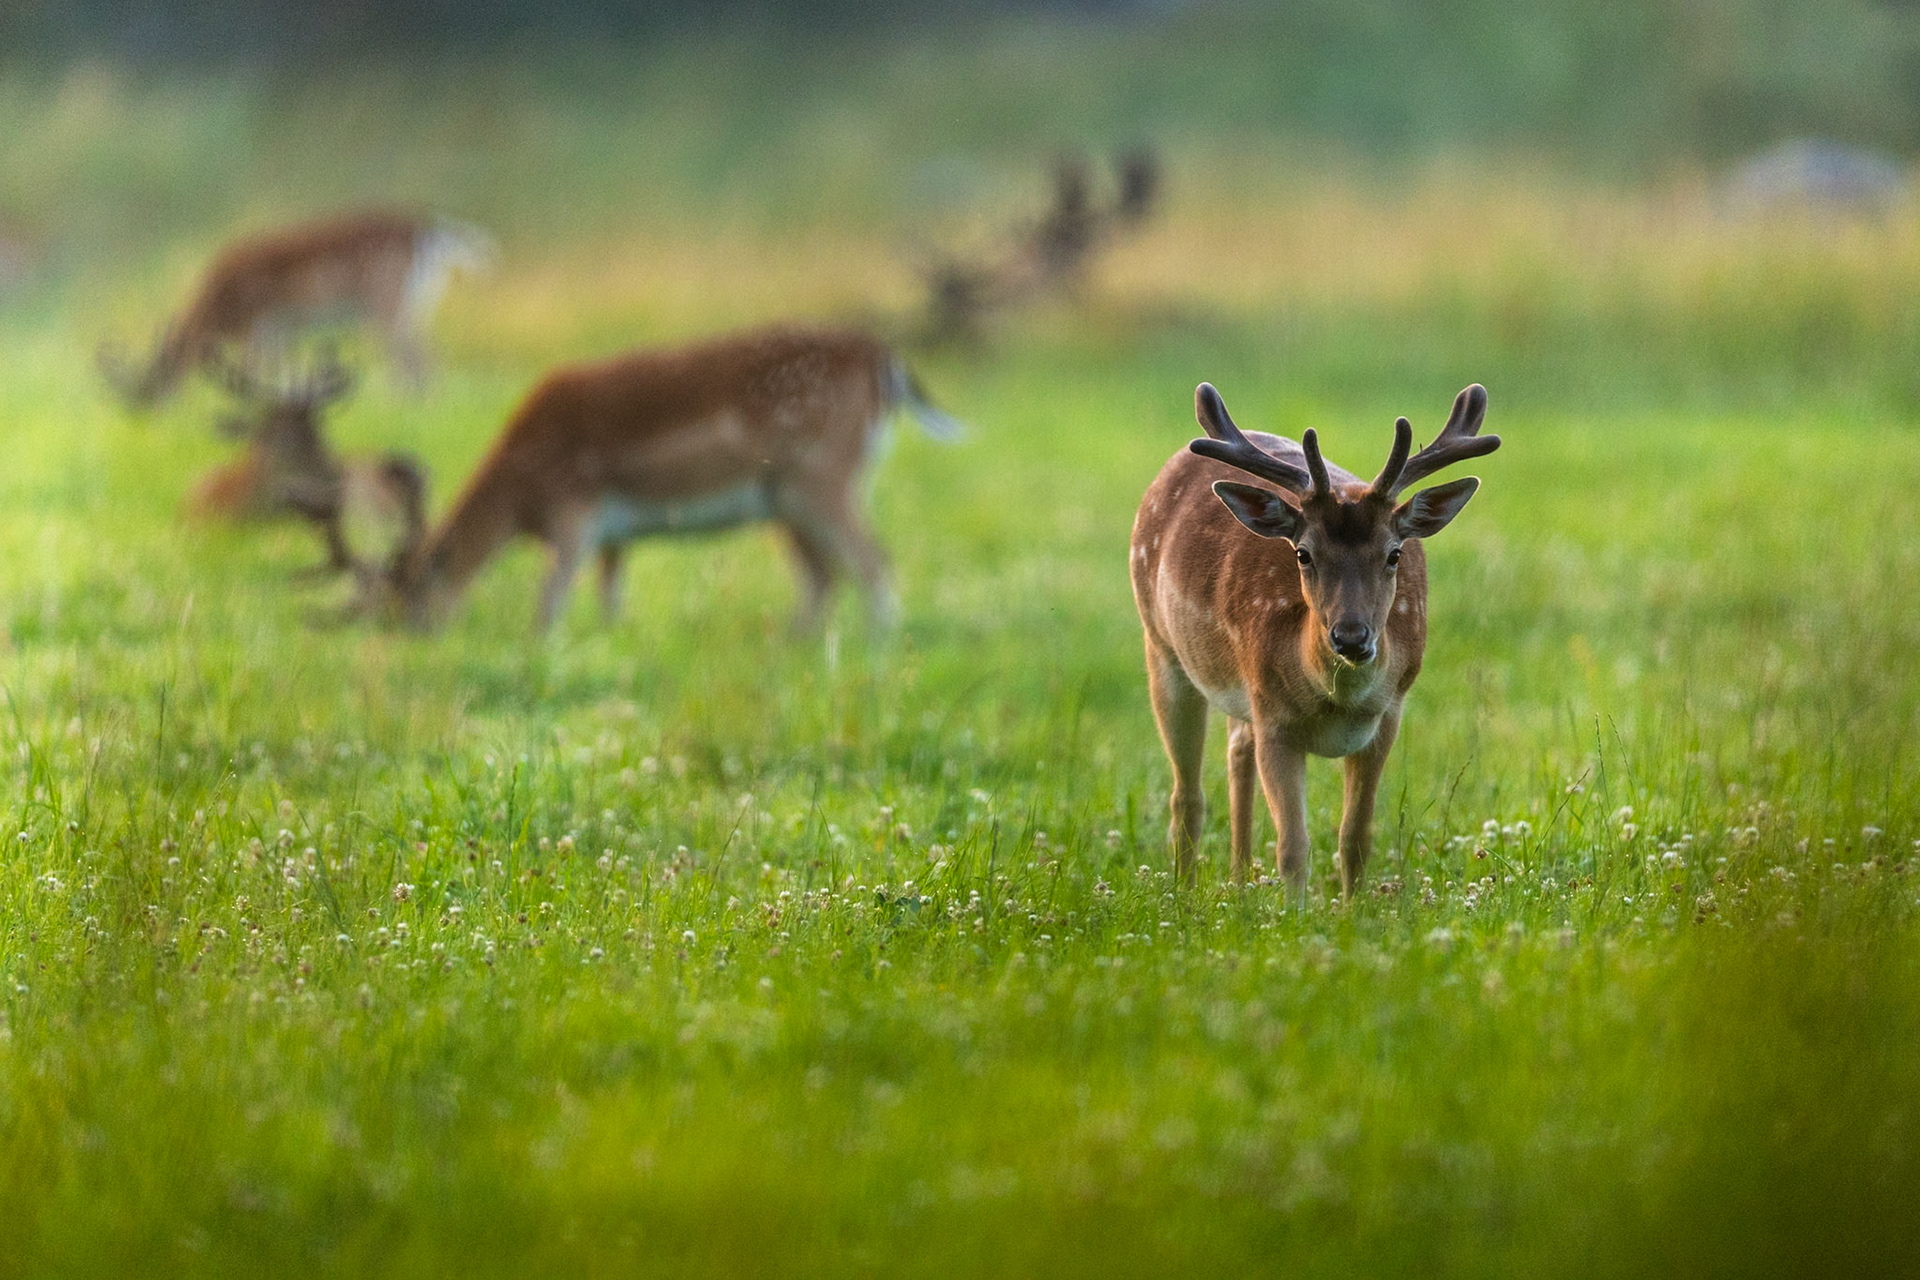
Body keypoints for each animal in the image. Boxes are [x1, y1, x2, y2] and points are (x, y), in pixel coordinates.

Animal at [100, 208, 491, 409]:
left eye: (153, 388)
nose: (152, 421)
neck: (220, 308)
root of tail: (427, 230)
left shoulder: (256, 324)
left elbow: (253, 373)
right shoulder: (278, 331)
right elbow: (278, 375)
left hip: (385, 300)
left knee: (415, 360)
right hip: (416, 305)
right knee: (422, 357)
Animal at [358, 324, 963, 635]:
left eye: (407, 593)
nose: (399, 637)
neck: (520, 496)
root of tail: (885, 363)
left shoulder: (575, 507)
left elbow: (551, 596)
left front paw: (542, 651)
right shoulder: (613, 532)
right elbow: (609, 593)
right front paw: (609, 641)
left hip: (823, 477)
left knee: (872, 561)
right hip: (787, 499)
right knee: (824, 573)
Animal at [1129, 381, 1500, 895]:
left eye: (1394, 553)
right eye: (1303, 553)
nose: (1350, 637)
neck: (1336, 702)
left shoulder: (1388, 714)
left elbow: (1356, 838)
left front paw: (1354, 909)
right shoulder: (1274, 719)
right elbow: (1292, 845)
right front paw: (1295, 912)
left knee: (1236, 753)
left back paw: (1239, 881)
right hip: (1162, 647)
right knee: (1186, 794)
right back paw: (1185, 892)